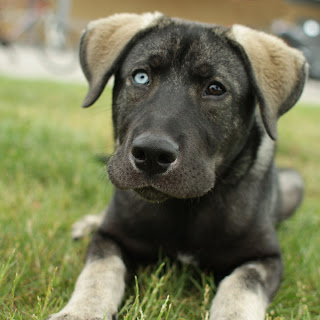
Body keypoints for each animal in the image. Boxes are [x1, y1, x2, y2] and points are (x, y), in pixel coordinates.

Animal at [48, 11, 308, 318]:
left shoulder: (265, 257)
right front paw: (82, 310)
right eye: (141, 77)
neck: (184, 207)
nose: (151, 154)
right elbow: (98, 272)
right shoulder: (110, 237)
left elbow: (241, 285)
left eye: (215, 89)